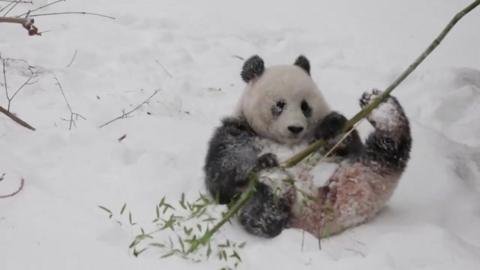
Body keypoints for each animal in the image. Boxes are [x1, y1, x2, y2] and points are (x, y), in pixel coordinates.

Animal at [204, 54, 410, 238]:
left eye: (305, 106)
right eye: (280, 104)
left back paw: (384, 109)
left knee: (389, 150)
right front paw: (265, 161)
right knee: (260, 214)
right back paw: (270, 197)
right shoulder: (238, 131)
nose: (295, 128)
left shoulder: (322, 140)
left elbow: (347, 143)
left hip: (362, 168)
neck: (287, 143)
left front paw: (332, 126)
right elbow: (223, 172)